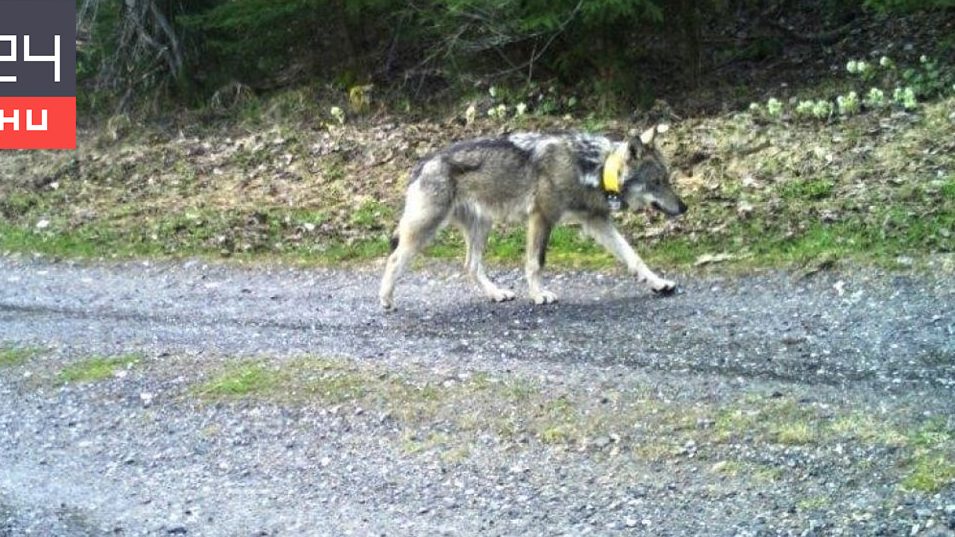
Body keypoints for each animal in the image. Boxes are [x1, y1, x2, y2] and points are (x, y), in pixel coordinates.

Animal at [380, 124, 688, 310]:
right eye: (657, 182)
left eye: (667, 179)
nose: (684, 208)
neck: (593, 168)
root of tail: (423, 162)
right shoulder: (542, 217)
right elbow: (535, 263)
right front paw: (539, 295)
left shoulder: (597, 222)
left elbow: (633, 257)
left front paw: (658, 283)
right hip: (426, 230)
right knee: (394, 259)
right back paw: (386, 300)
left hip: (482, 227)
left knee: (471, 266)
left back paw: (496, 293)